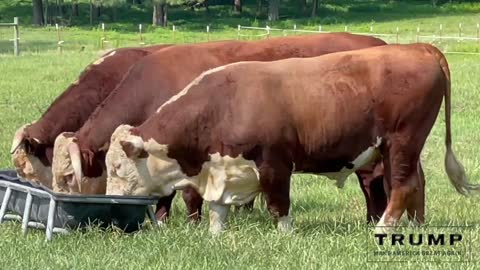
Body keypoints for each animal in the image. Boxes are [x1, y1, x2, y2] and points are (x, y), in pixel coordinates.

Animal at [51, 33, 390, 224]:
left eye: (68, 177)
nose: (63, 210)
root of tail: (377, 44)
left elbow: (188, 196)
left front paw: (190, 224)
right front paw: (161, 221)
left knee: (373, 181)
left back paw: (375, 219)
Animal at [109, 42, 480, 234]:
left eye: (117, 168)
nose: (112, 199)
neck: (222, 105)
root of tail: (418, 48)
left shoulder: (274, 164)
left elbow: (278, 205)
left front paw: (286, 236)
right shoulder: (223, 169)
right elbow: (217, 210)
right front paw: (214, 236)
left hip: (402, 141)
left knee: (402, 185)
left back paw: (384, 228)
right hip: (397, 148)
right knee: (412, 183)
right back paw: (416, 227)